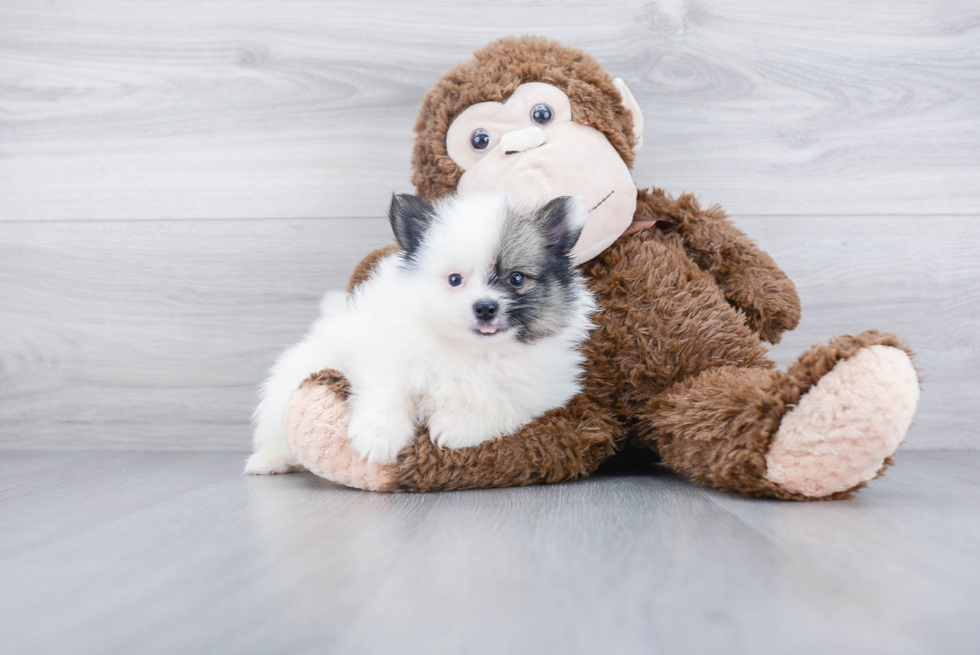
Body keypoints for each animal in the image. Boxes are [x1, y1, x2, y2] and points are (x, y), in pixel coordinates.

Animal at [245, 192, 596, 474]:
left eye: (516, 279)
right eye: (454, 280)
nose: (485, 307)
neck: (472, 349)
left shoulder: (542, 389)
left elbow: (501, 401)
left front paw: (456, 427)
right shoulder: (382, 352)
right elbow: (387, 392)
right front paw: (378, 437)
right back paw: (269, 461)